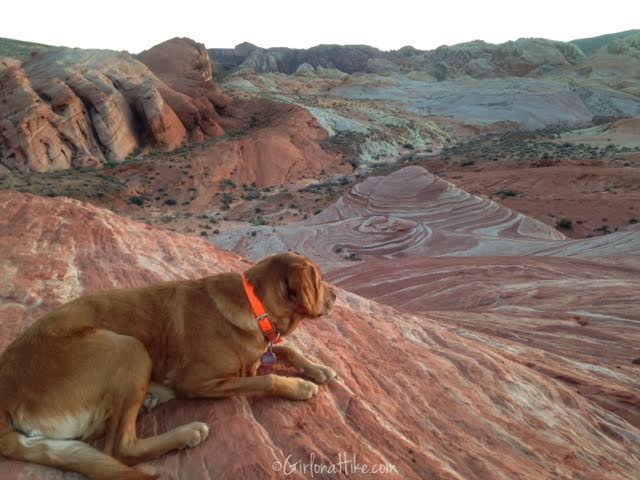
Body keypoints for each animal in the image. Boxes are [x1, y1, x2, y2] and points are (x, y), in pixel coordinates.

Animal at [0, 253, 340, 478]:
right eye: (320, 280)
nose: (336, 295)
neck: (256, 305)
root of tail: (5, 397)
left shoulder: (258, 352)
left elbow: (285, 350)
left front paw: (317, 368)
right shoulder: (195, 381)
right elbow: (265, 380)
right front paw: (299, 386)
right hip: (127, 348)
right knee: (119, 447)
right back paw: (186, 431)